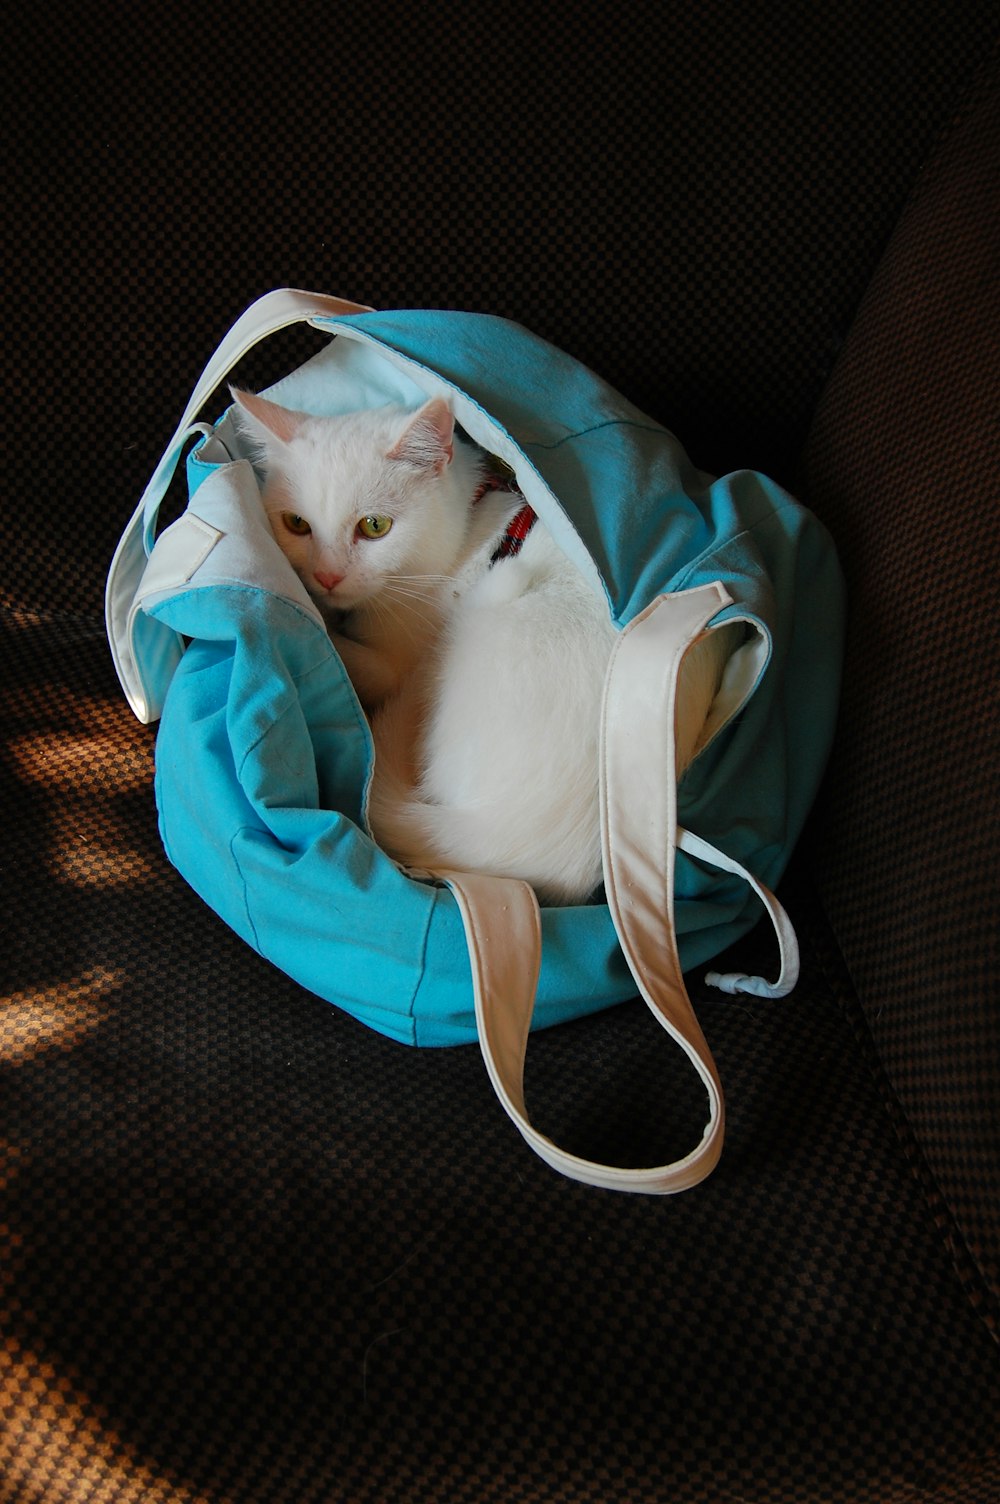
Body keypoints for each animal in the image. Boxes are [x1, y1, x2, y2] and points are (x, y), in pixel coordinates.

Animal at [234, 391, 733, 902]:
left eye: (374, 526)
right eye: (296, 524)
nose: (326, 577)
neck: (471, 525)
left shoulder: (397, 661)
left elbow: (356, 657)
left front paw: (319, 621)